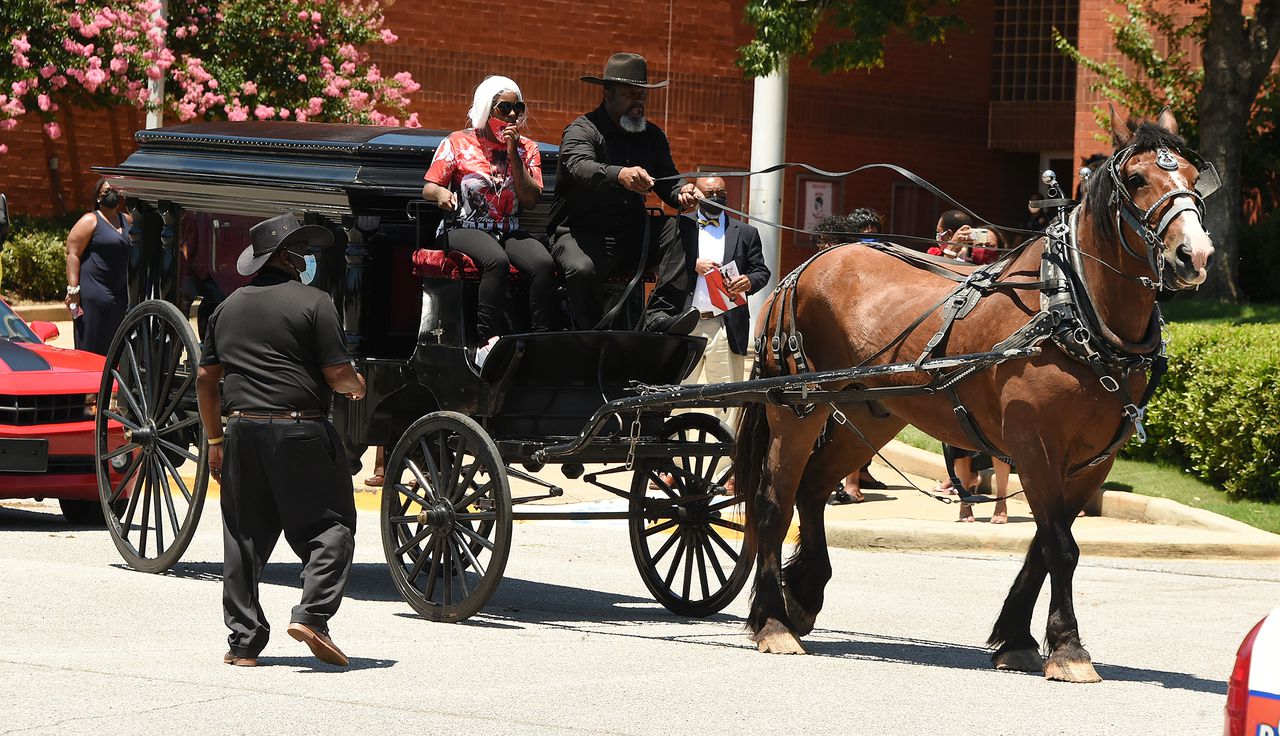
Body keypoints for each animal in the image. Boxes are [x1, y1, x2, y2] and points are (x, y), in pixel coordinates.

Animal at [737, 110, 1213, 686]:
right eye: (1138, 179)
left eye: (1195, 176)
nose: (1195, 254)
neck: (1073, 309)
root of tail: (810, 264)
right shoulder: (1036, 446)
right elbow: (1060, 546)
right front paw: (1068, 649)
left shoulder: (1094, 460)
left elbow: (1044, 546)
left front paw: (1017, 639)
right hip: (795, 406)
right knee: (774, 501)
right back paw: (772, 622)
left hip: (868, 412)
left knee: (811, 489)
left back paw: (802, 595)